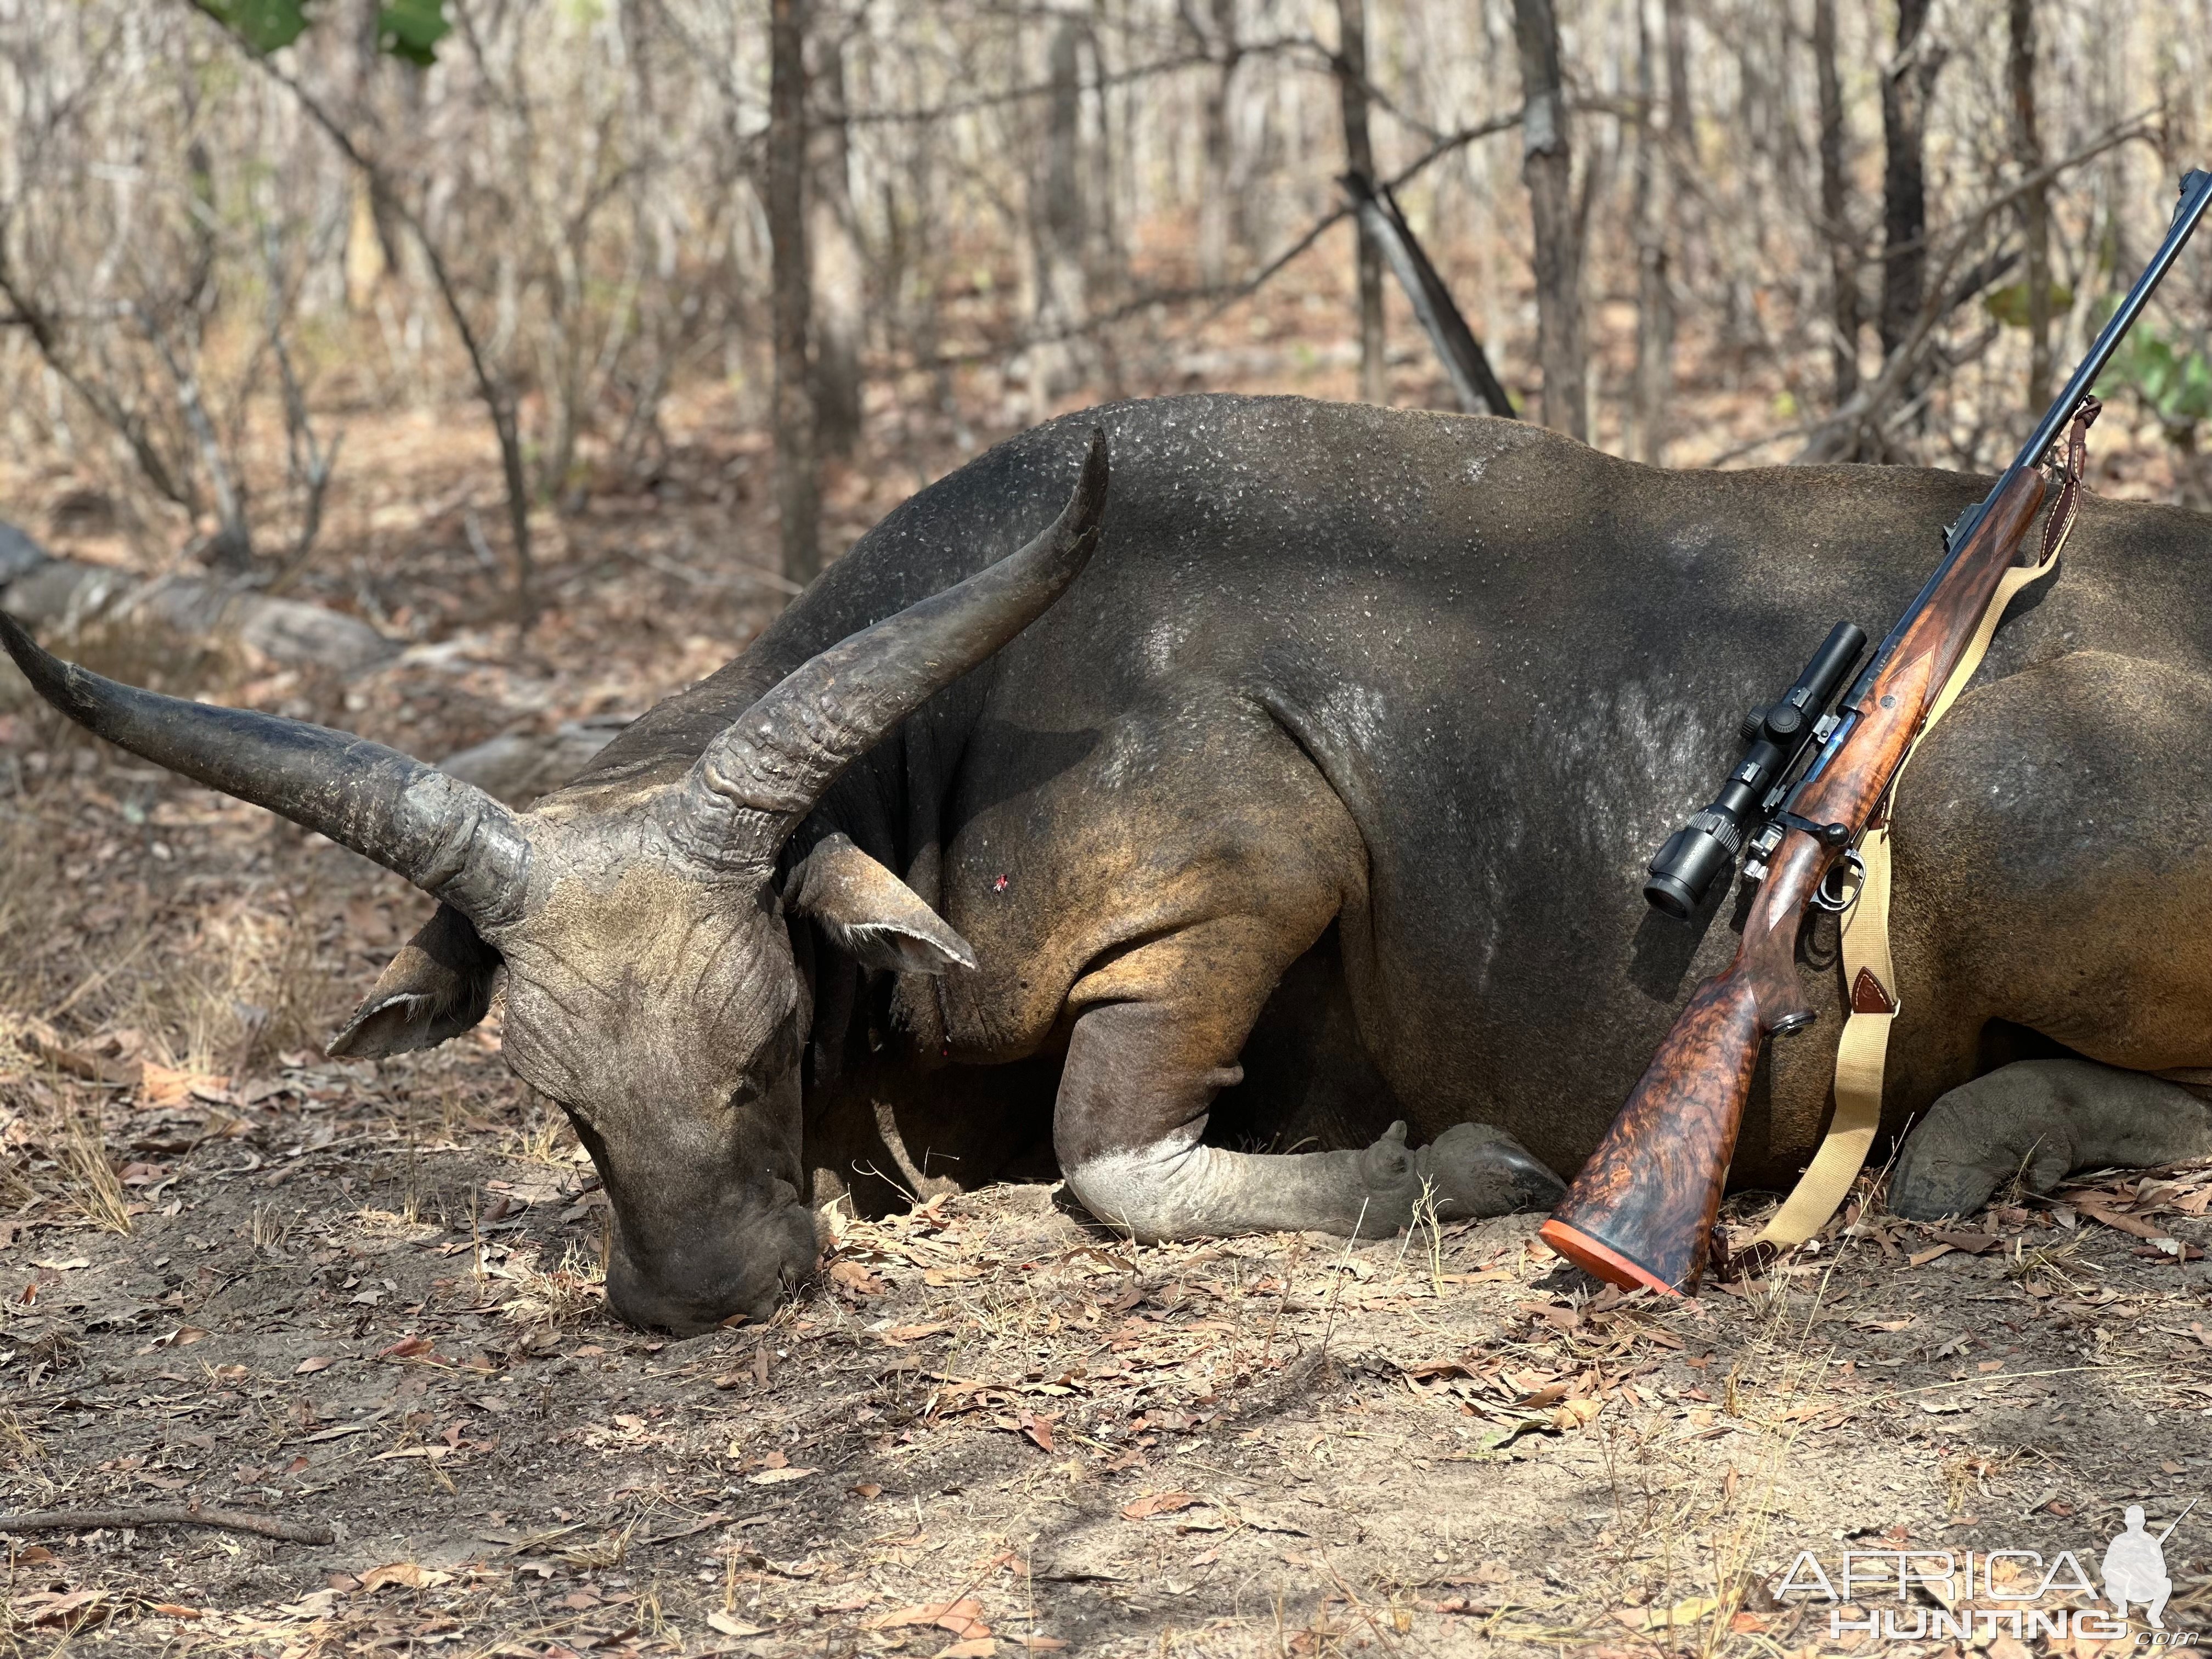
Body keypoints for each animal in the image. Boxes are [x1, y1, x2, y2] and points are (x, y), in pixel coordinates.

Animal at [4, 396, 2212, 1336]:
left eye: (755, 1037)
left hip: (1978, 782)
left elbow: (1112, 1160)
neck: (954, 742)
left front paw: (1447, 1171)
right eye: (555, 1099)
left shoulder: (1237, 881)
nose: (707, 1296)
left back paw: (1979, 1133)